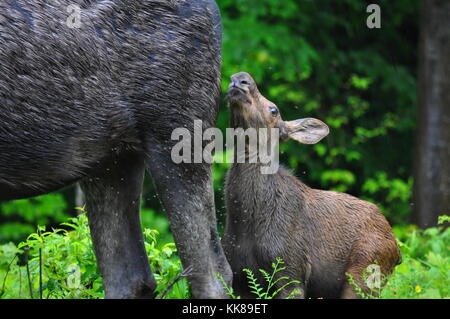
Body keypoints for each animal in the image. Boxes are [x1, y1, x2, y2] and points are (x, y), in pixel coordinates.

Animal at [222, 72, 400, 300]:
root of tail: (397, 249)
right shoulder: (239, 277)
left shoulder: (290, 271)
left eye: (274, 110)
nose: (240, 78)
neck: (245, 218)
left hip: (365, 272)